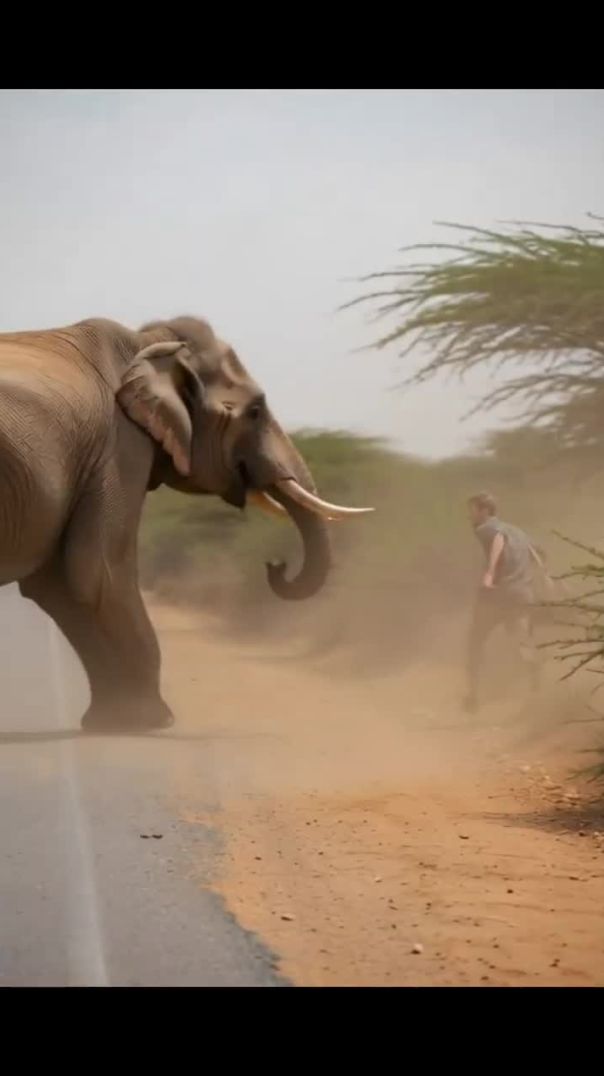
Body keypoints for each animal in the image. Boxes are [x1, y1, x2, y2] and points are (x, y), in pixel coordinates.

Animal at [0, 315, 372, 732]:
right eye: (256, 411)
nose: (275, 564)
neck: (150, 342)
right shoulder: (119, 444)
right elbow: (97, 571)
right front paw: (154, 721)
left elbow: (55, 585)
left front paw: (112, 722)